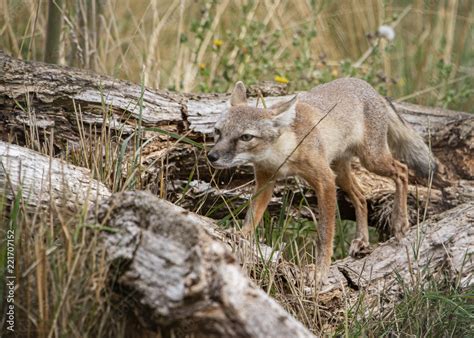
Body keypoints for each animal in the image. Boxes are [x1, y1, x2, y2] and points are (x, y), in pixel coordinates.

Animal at [209, 77, 436, 282]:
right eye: (217, 131)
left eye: (246, 137)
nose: (212, 156)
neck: (281, 155)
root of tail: (368, 86)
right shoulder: (265, 182)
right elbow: (252, 216)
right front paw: (241, 235)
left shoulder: (325, 181)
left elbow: (325, 235)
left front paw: (321, 271)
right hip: (341, 174)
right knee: (361, 197)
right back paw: (361, 239)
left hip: (372, 160)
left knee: (402, 171)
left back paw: (400, 222)